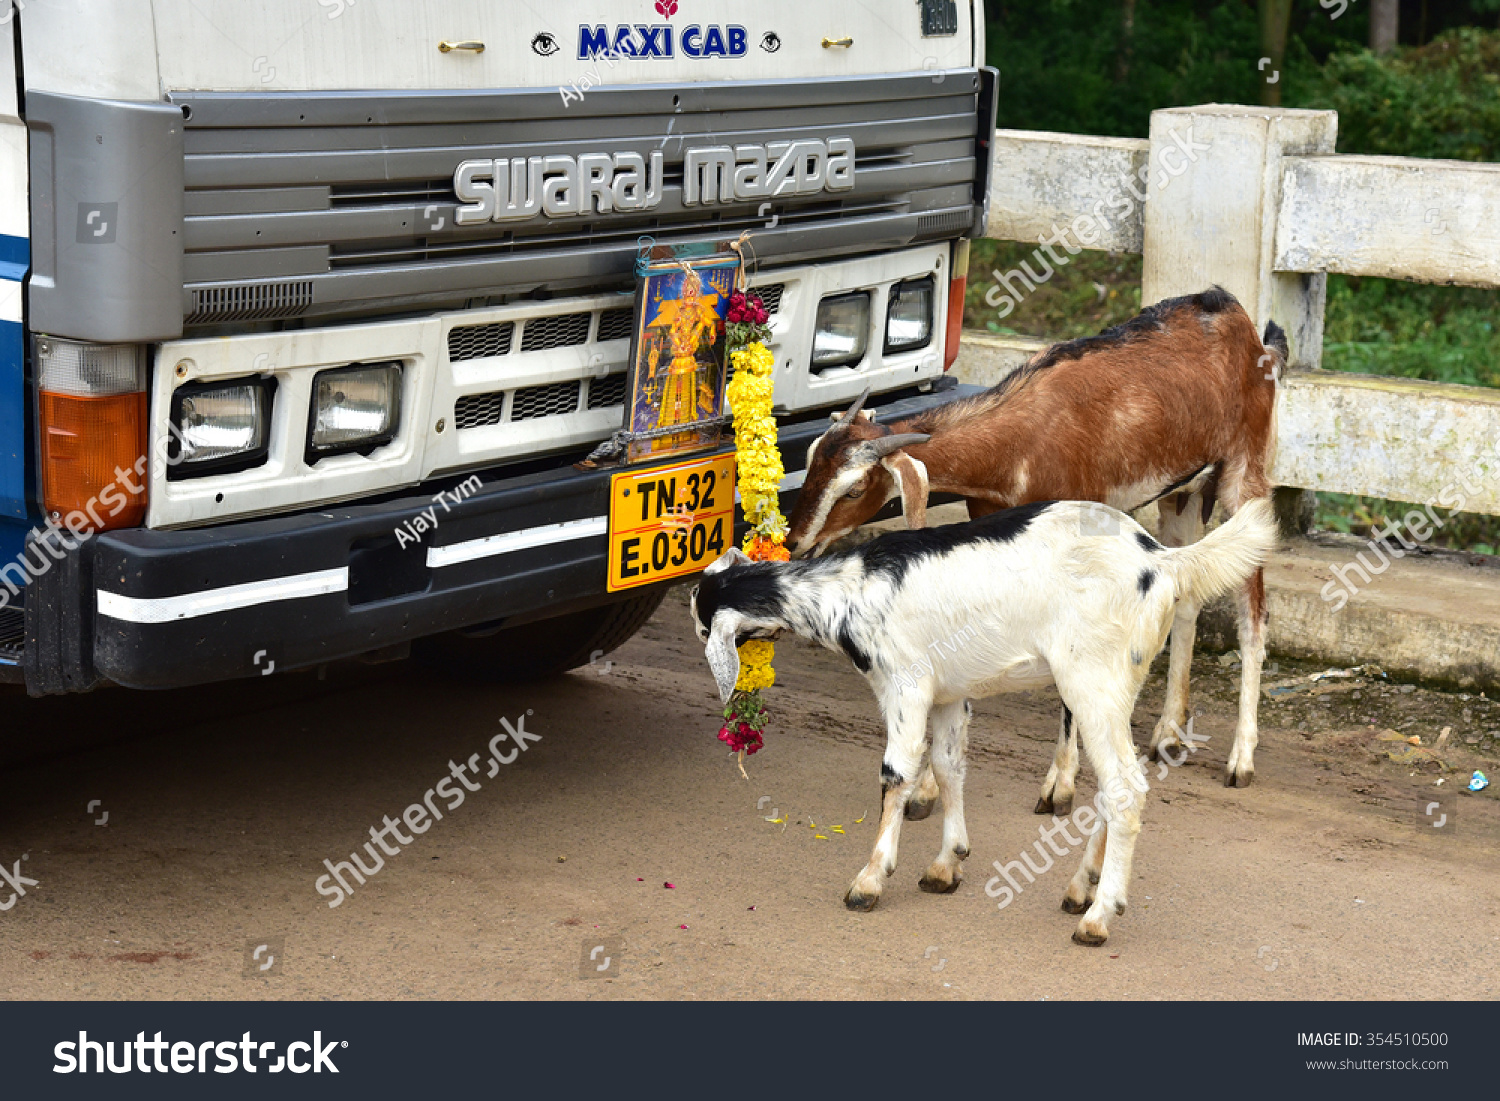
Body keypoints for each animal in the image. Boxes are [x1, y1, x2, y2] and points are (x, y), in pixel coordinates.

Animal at [690, 495, 1278, 942]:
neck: (846, 590)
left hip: (1091, 680)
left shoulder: (904, 686)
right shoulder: (949, 694)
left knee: (1127, 787)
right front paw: (947, 864)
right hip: (1119, 684)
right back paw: (1080, 887)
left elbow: (896, 775)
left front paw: (869, 881)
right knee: (1115, 785)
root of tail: (1163, 561)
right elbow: (948, 768)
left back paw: (1097, 917)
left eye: (701, 628)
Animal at [780, 289, 1284, 798]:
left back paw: (1241, 757)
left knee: (1253, 615)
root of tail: (1234, 311)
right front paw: (927, 788)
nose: (795, 540)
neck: (1020, 442)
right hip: (1182, 495)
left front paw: (1059, 784)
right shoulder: (988, 526)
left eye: (854, 489)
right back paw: (1169, 734)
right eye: (811, 458)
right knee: (1188, 598)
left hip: (1245, 476)